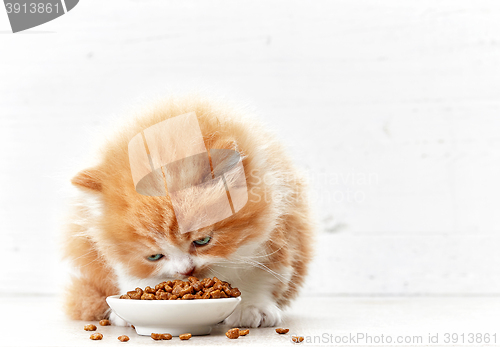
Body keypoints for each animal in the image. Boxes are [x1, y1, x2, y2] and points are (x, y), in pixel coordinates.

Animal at [61, 96, 312, 328]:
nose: (186, 271)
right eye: (154, 256)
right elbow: (132, 275)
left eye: (202, 241)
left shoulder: (278, 232)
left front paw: (251, 308)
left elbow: (260, 275)